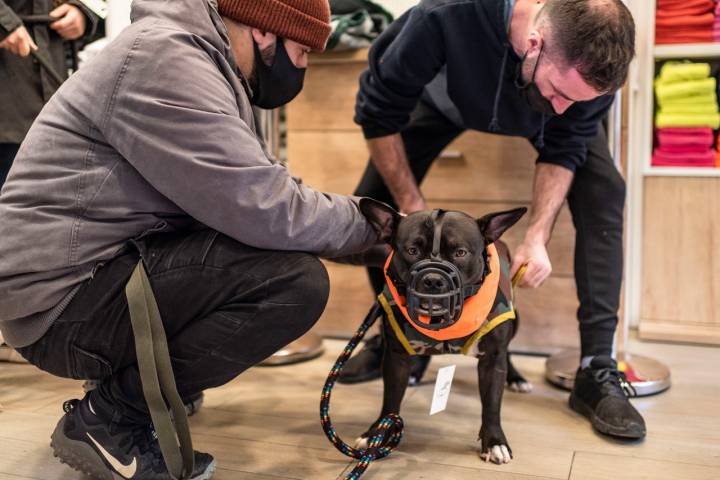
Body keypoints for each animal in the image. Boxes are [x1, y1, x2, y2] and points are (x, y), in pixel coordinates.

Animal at [356, 198, 532, 464]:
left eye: (460, 253)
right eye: (412, 250)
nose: (433, 279)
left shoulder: (492, 359)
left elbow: (492, 403)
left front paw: (494, 442)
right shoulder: (396, 356)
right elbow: (391, 399)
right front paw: (376, 434)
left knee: (508, 352)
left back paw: (516, 378)